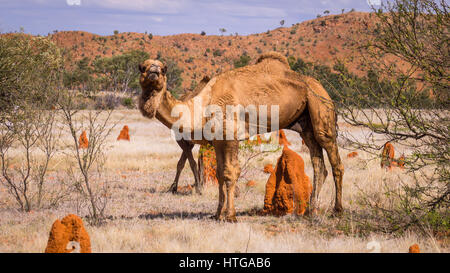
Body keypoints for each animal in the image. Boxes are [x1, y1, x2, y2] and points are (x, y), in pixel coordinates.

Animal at [139, 51, 342, 221]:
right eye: (142, 67)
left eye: (164, 68)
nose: (154, 71)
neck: (202, 106)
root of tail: (320, 86)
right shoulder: (217, 141)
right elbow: (220, 174)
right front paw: (217, 214)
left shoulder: (231, 136)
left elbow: (230, 172)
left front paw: (230, 216)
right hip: (306, 124)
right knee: (319, 164)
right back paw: (310, 211)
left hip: (321, 106)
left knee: (334, 159)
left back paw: (337, 210)